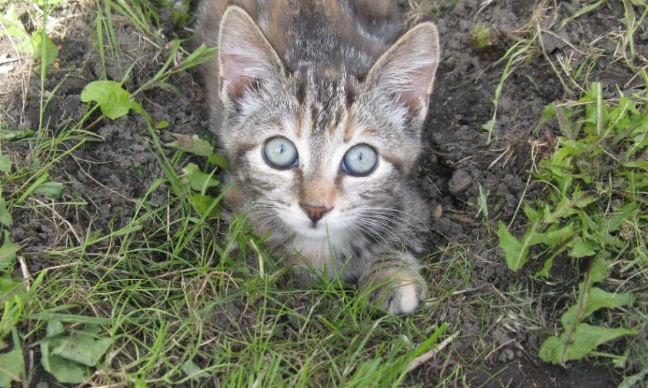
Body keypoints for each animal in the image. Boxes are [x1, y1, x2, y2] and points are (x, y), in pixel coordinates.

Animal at [197, 0, 440, 314]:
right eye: (280, 151)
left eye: (361, 158)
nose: (315, 209)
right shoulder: (236, 197)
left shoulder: (411, 204)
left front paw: (392, 275)